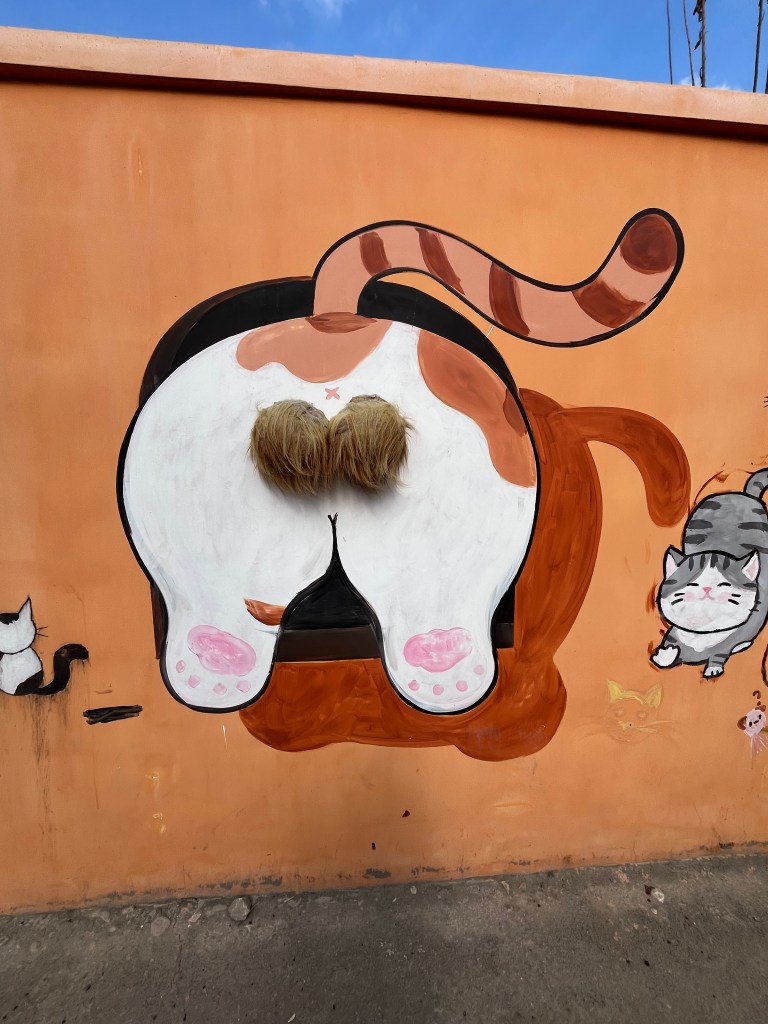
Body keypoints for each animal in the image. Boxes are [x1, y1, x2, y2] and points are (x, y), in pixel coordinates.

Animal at [651, 469, 768, 678]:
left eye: (724, 585)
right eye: (692, 584)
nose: (706, 588)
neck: (701, 635)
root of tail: (743, 495)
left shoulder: (727, 642)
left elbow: (719, 654)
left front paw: (713, 668)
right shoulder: (674, 635)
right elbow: (669, 645)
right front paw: (663, 656)